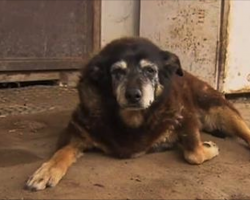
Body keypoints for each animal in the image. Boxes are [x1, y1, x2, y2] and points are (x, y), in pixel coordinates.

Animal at [24, 36, 250, 191]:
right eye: (117, 72)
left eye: (150, 70)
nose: (133, 95)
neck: (133, 121)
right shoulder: (76, 131)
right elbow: (62, 152)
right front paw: (47, 170)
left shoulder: (185, 117)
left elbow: (194, 153)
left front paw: (208, 147)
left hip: (221, 110)